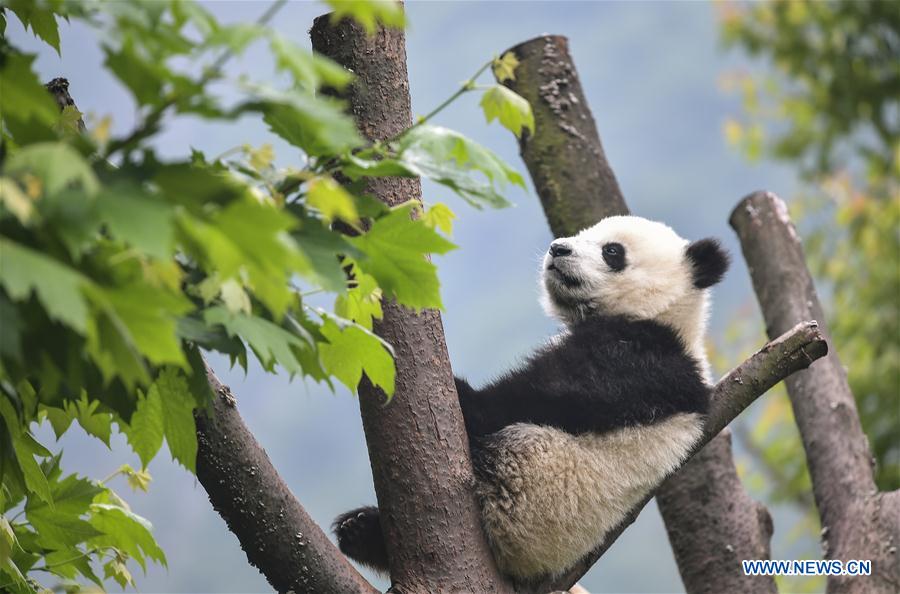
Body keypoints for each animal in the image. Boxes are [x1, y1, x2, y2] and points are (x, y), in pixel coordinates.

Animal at [333, 215, 730, 583]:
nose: (558, 249)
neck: (667, 321)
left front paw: (460, 393)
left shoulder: (635, 361)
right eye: (583, 234)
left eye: (612, 251)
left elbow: (534, 397)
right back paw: (359, 530)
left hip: (522, 491)